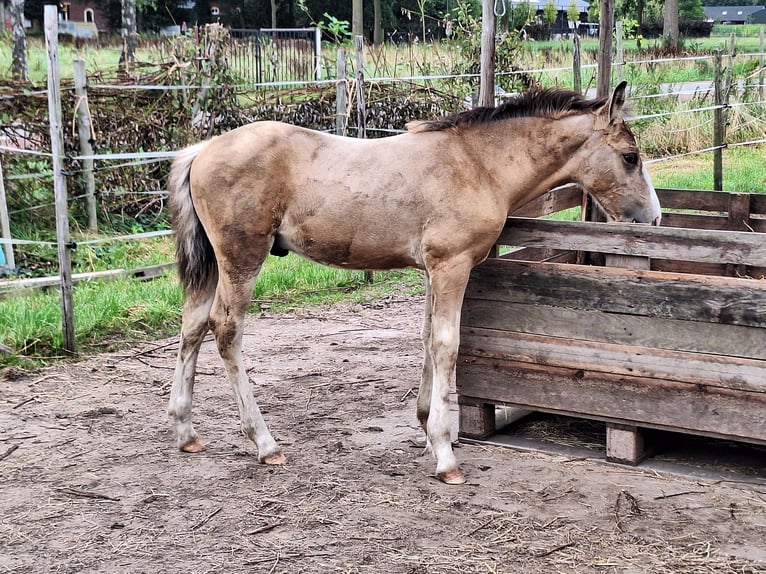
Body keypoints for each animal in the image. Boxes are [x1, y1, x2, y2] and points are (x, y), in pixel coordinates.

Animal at [171, 81, 664, 486]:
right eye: (630, 157)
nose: (655, 218)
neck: (478, 164)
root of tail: (202, 150)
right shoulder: (452, 265)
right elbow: (447, 344)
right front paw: (445, 455)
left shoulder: (432, 269)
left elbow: (427, 338)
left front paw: (427, 428)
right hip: (242, 258)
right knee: (225, 329)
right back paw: (265, 443)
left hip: (212, 266)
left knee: (191, 327)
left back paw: (185, 432)